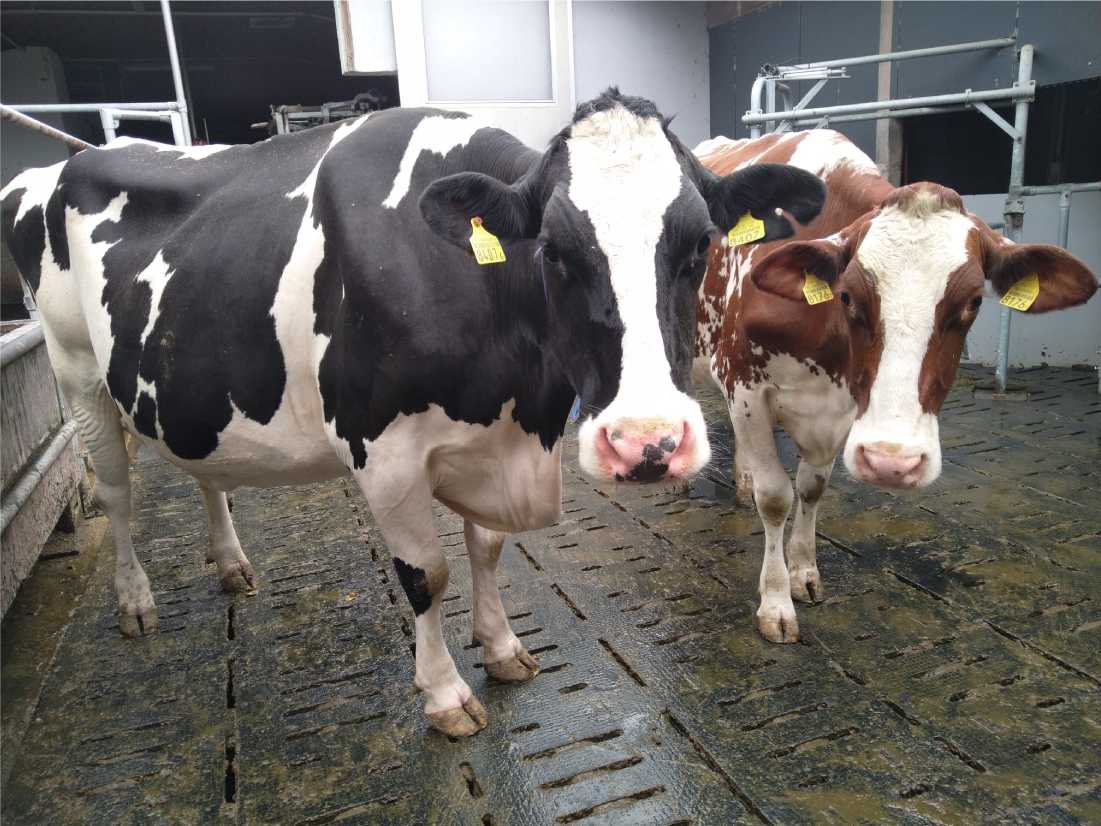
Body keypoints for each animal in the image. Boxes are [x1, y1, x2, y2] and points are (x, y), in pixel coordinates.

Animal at [1, 90, 826, 736]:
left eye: (699, 245)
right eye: (553, 250)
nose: (647, 444)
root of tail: (62, 164)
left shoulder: (495, 438)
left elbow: (487, 550)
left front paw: (502, 649)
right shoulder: (383, 451)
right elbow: (426, 573)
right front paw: (445, 694)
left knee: (206, 470)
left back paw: (232, 565)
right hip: (77, 373)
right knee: (117, 493)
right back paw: (136, 602)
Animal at [693, 130, 1098, 645]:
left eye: (973, 302)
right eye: (847, 295)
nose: (892, 464)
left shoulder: (842, 405)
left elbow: (811, 488)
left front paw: (804, 572)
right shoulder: (745, 385)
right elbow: (776, 497)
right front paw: (776, 603)